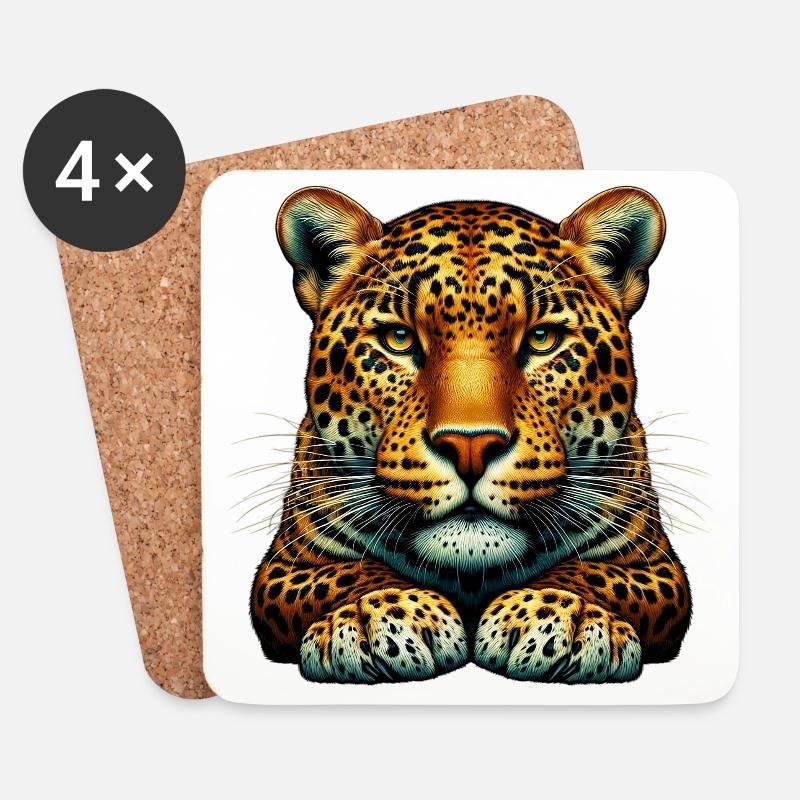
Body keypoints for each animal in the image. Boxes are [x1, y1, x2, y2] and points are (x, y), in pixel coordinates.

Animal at [249, 184, 691, 684]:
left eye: (542, 338)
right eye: (399, 338)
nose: (470, 446)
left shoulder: (654, 565)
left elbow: (593, 573)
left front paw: (559, 617)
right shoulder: (286, 565)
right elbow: (346, 573)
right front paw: (380, 616)